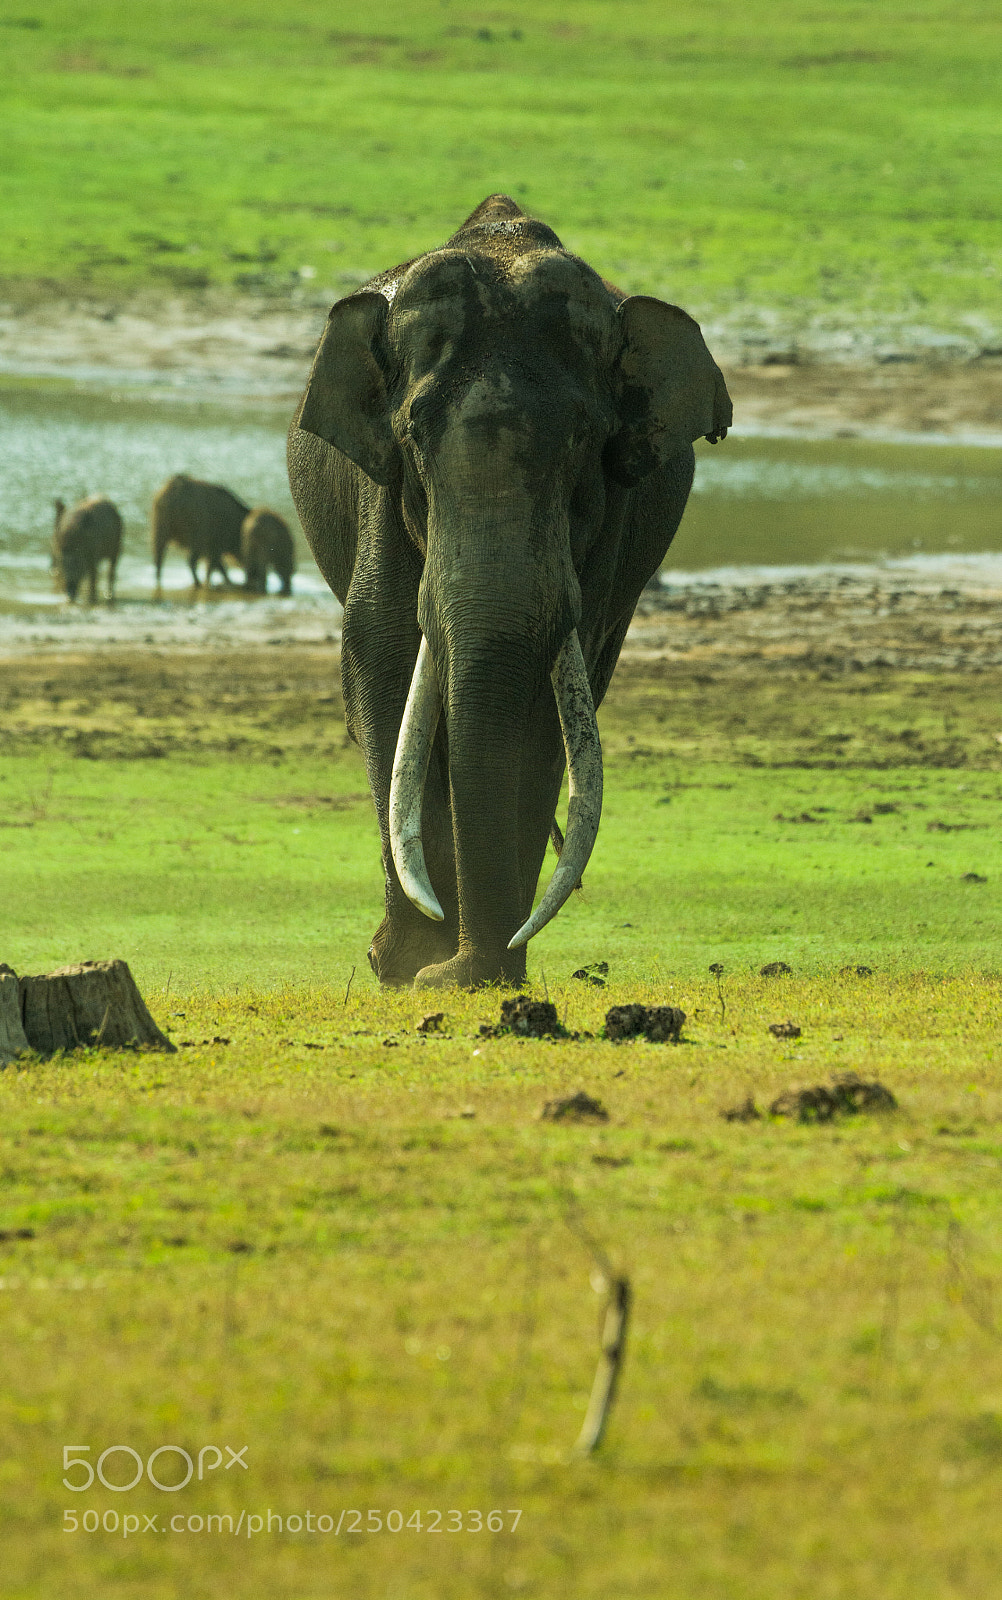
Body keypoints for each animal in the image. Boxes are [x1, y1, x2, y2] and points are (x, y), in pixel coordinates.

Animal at [287, 194, 732, 989]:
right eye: (412, 436)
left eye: (586, 439)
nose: (459, 972)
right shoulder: (380, 491)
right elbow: (384, 661)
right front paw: (412, 968)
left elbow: (541, 709)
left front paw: (475, 973)